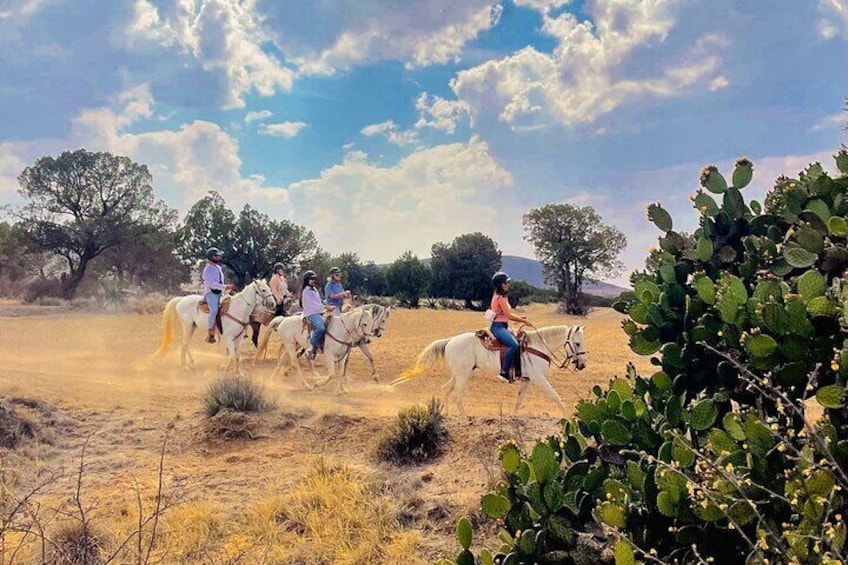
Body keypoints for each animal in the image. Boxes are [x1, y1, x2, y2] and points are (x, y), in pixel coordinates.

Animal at [392, 324, 588, 416]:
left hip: (459, 374)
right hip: (463, 375)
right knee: (456, 396)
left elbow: (518, 401)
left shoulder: (526, 380)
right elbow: (555, 396)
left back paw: (447, 414)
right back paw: (466, 417)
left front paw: (513, 417)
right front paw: (567, 416)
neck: (538, 346)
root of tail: (450, 341)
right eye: (577, 343)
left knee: (447, 391)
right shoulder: (538, 378)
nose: (582, 365)